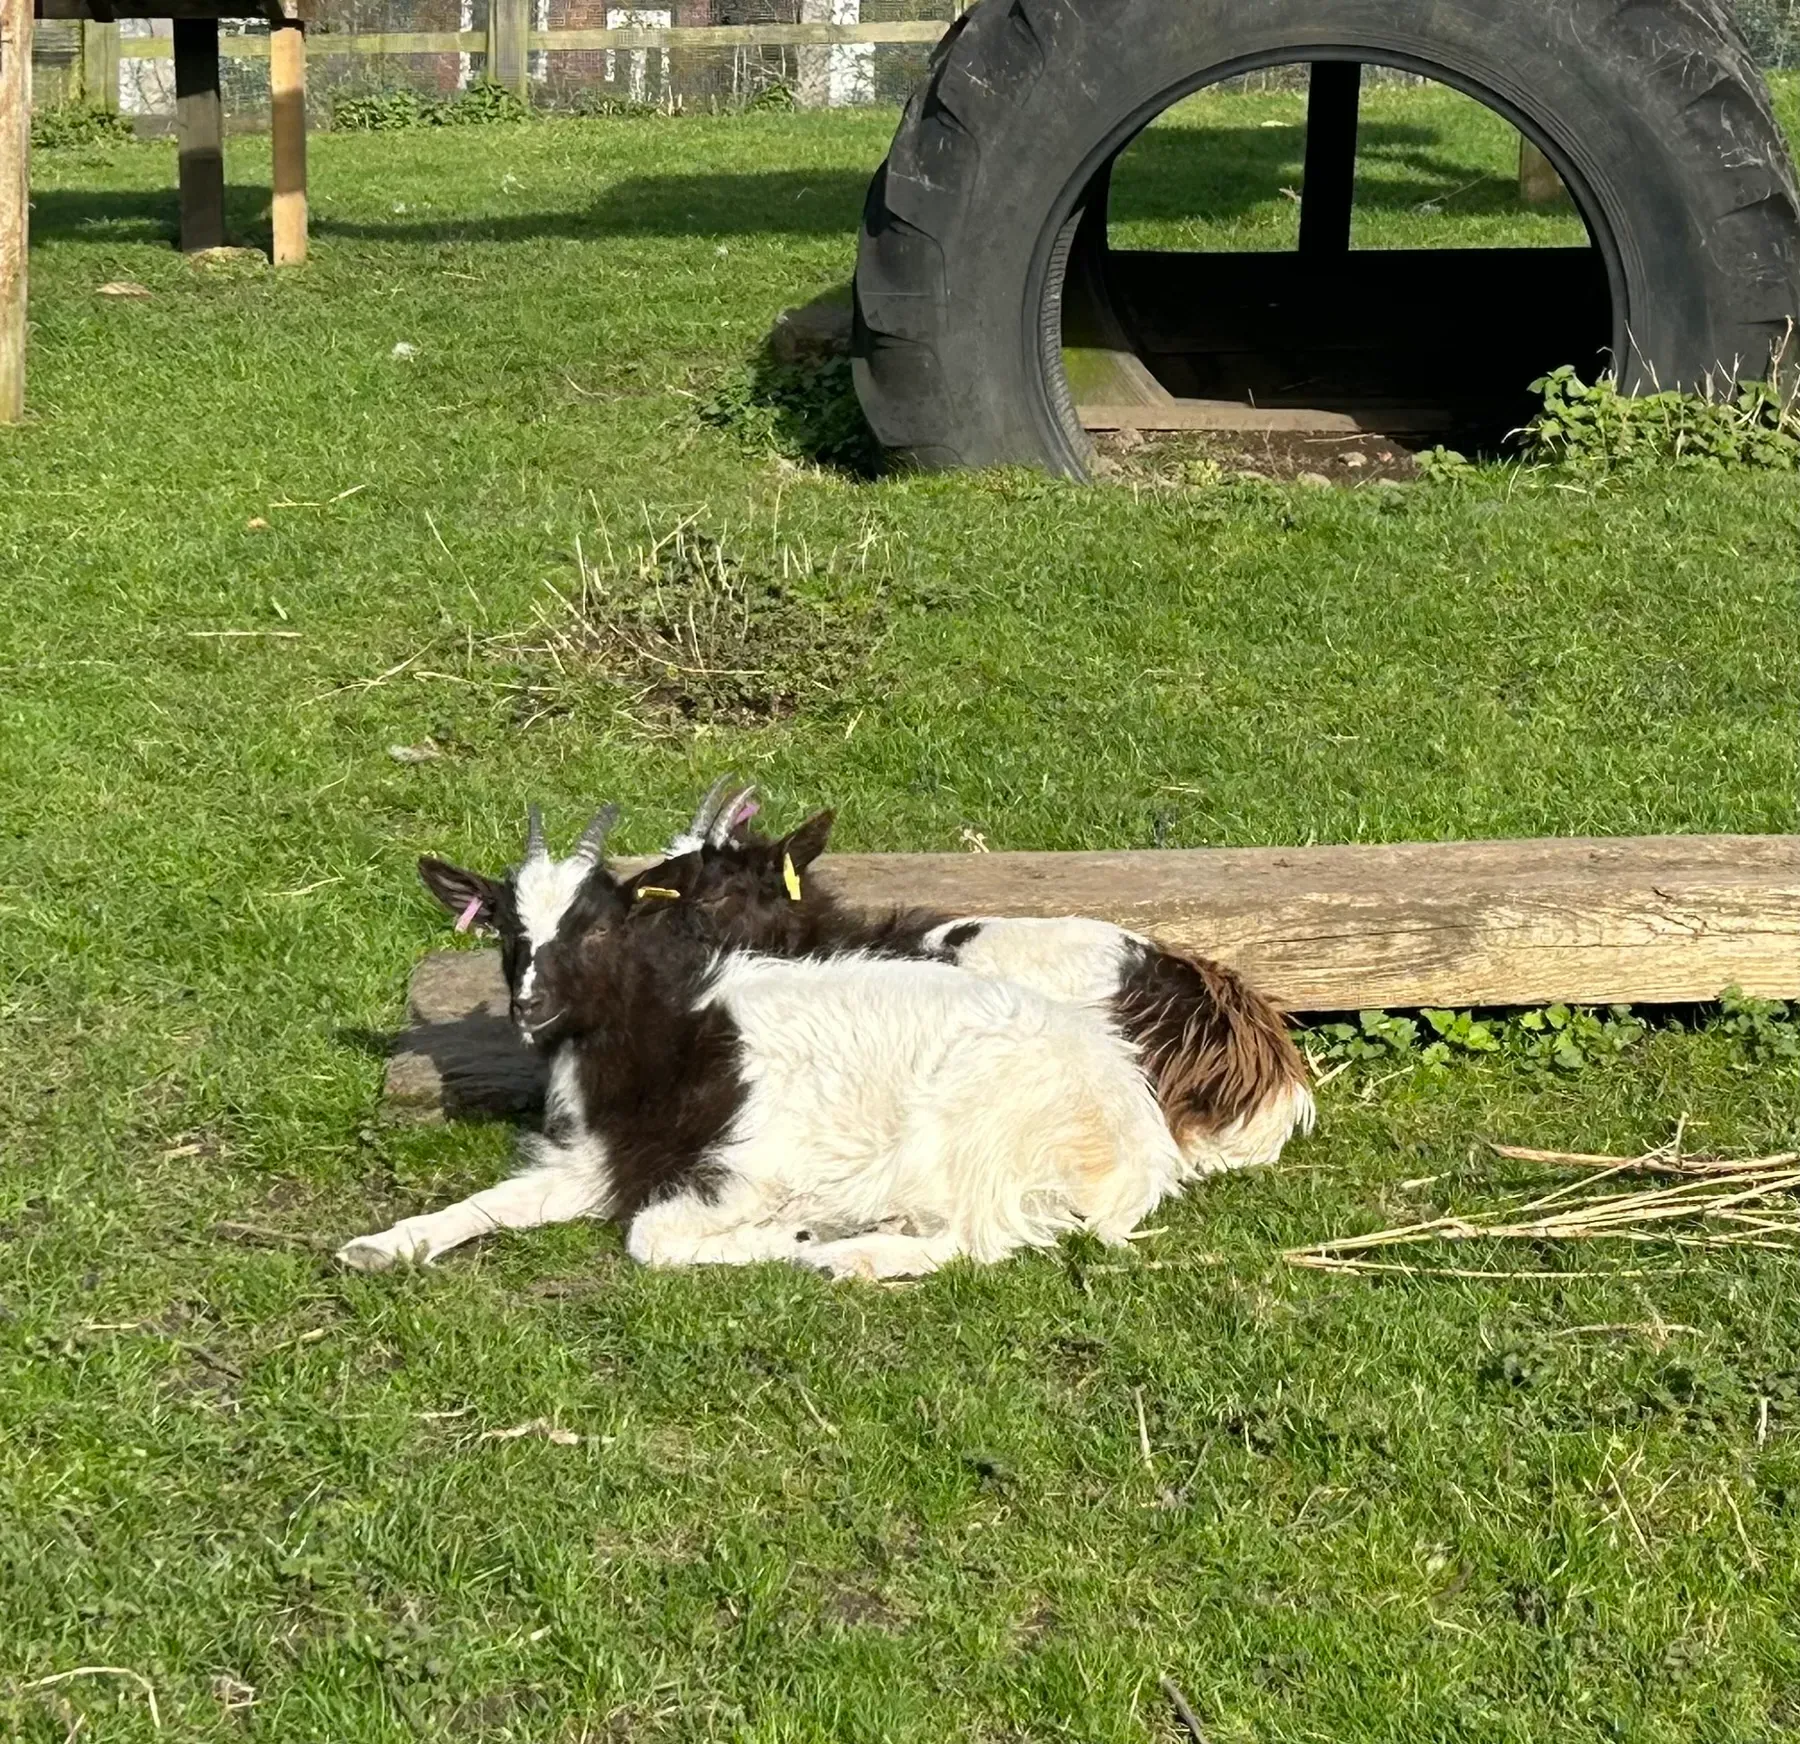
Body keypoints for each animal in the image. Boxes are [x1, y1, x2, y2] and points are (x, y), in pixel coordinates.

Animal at [335, 808, 1190, 1280]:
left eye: (601, 926)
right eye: (507, 930)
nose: (530, 1006)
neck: (674, 1037)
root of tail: (1134, 1130)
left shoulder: (758, 1168)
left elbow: (649, 1238)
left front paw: (795, 1234)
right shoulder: (597, 1164)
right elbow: (490, 1202)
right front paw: (381, 1245)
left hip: (967, 1133)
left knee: (976, 1238)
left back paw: (852, 1256)